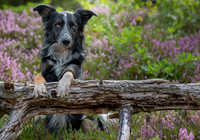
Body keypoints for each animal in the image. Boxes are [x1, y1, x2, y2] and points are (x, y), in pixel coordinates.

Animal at [32, 4, 108, 135]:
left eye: (73, 26)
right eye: (57, 25)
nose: (66, 41)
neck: (61, 54)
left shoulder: (76, 71)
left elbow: (68, 73)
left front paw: (63, 86)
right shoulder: (46, 71)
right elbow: (38, 75)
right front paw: (39, 87)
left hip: (84, 122)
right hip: (41, 122)